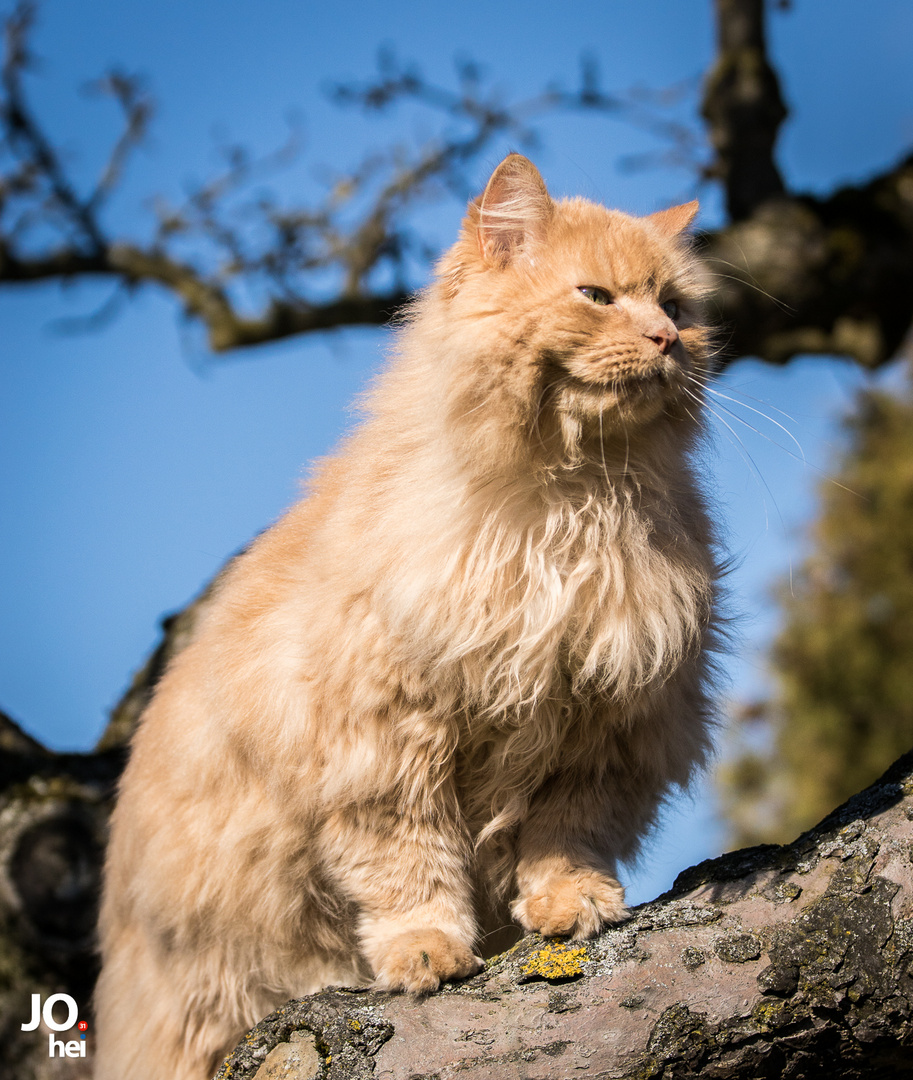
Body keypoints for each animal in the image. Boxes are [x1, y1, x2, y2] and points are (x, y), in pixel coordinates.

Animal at [92, 154, 717, 1080]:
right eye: (597, 297)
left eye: (675, 307)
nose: (666, 342)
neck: (568, 507)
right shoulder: (381, 745)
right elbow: (409, 869)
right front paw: (425, 950)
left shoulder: (605, 732)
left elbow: (566, 836)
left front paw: (571, 904)